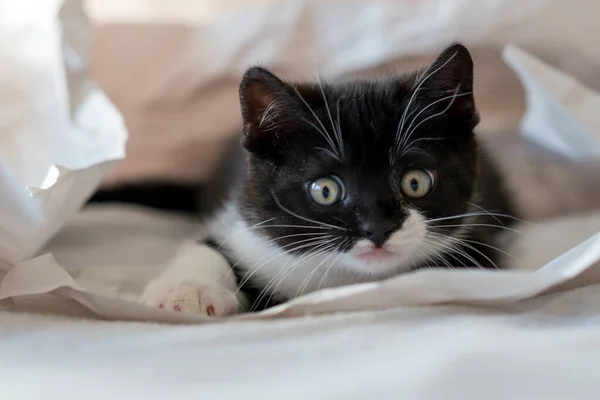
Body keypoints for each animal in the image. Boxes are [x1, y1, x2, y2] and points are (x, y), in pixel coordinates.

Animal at [139, 43, 516, 318]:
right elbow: (207, 245)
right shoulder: (244, 216)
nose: (377, 228)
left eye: (415, 182)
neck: (347, 277)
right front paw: (186, 291)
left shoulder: (477, 241)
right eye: (325, 190)